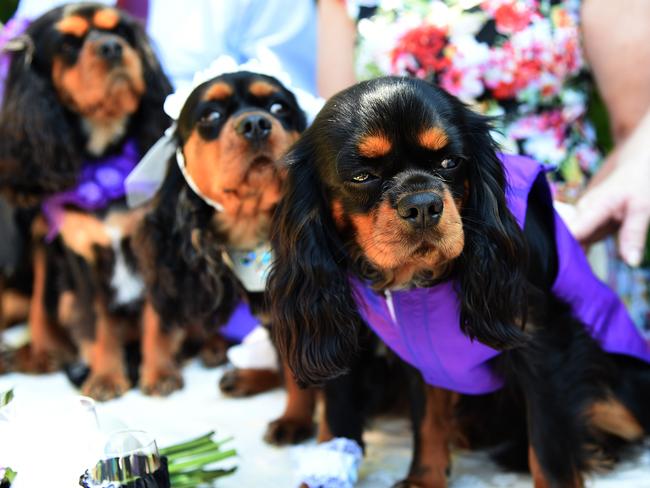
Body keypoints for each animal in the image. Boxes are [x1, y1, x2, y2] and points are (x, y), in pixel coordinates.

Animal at [0, 2, 172, 400]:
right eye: (68, 44)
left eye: (120, 32)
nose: (111, 48)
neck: (103, 156)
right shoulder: (81, 258)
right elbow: (98, 323)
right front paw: (106, 377)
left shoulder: (152, 246)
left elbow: (157, 318)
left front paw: (159, 373)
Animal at [266, 78, 648, 486]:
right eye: (362, 176)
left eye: (450, 162)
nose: (422, 204)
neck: (418, 281)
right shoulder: (420, 353)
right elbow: (428, 416)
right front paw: (425, 477)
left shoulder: (543, 341)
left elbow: (549, 448)